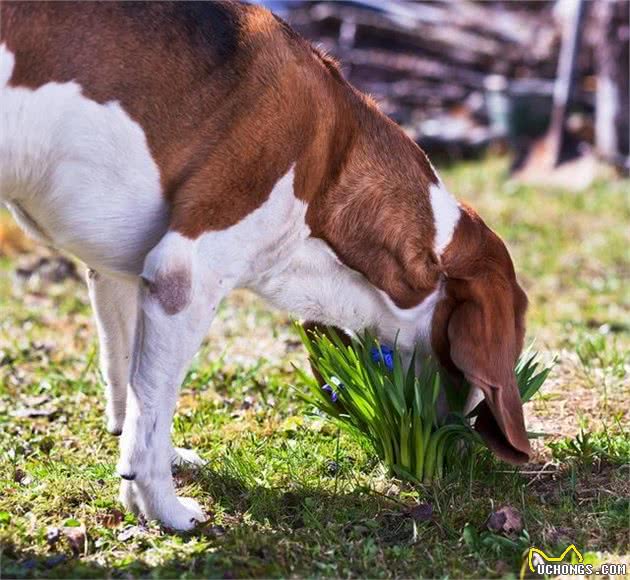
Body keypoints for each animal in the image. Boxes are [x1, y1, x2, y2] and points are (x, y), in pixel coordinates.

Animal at [0, 1, 532, 532]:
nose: (458, 450)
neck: (330, 170)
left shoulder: (119, 276)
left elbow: (132, 392)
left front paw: (162, 461)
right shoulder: (186, 278)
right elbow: (152, 412)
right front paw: (162, 506)